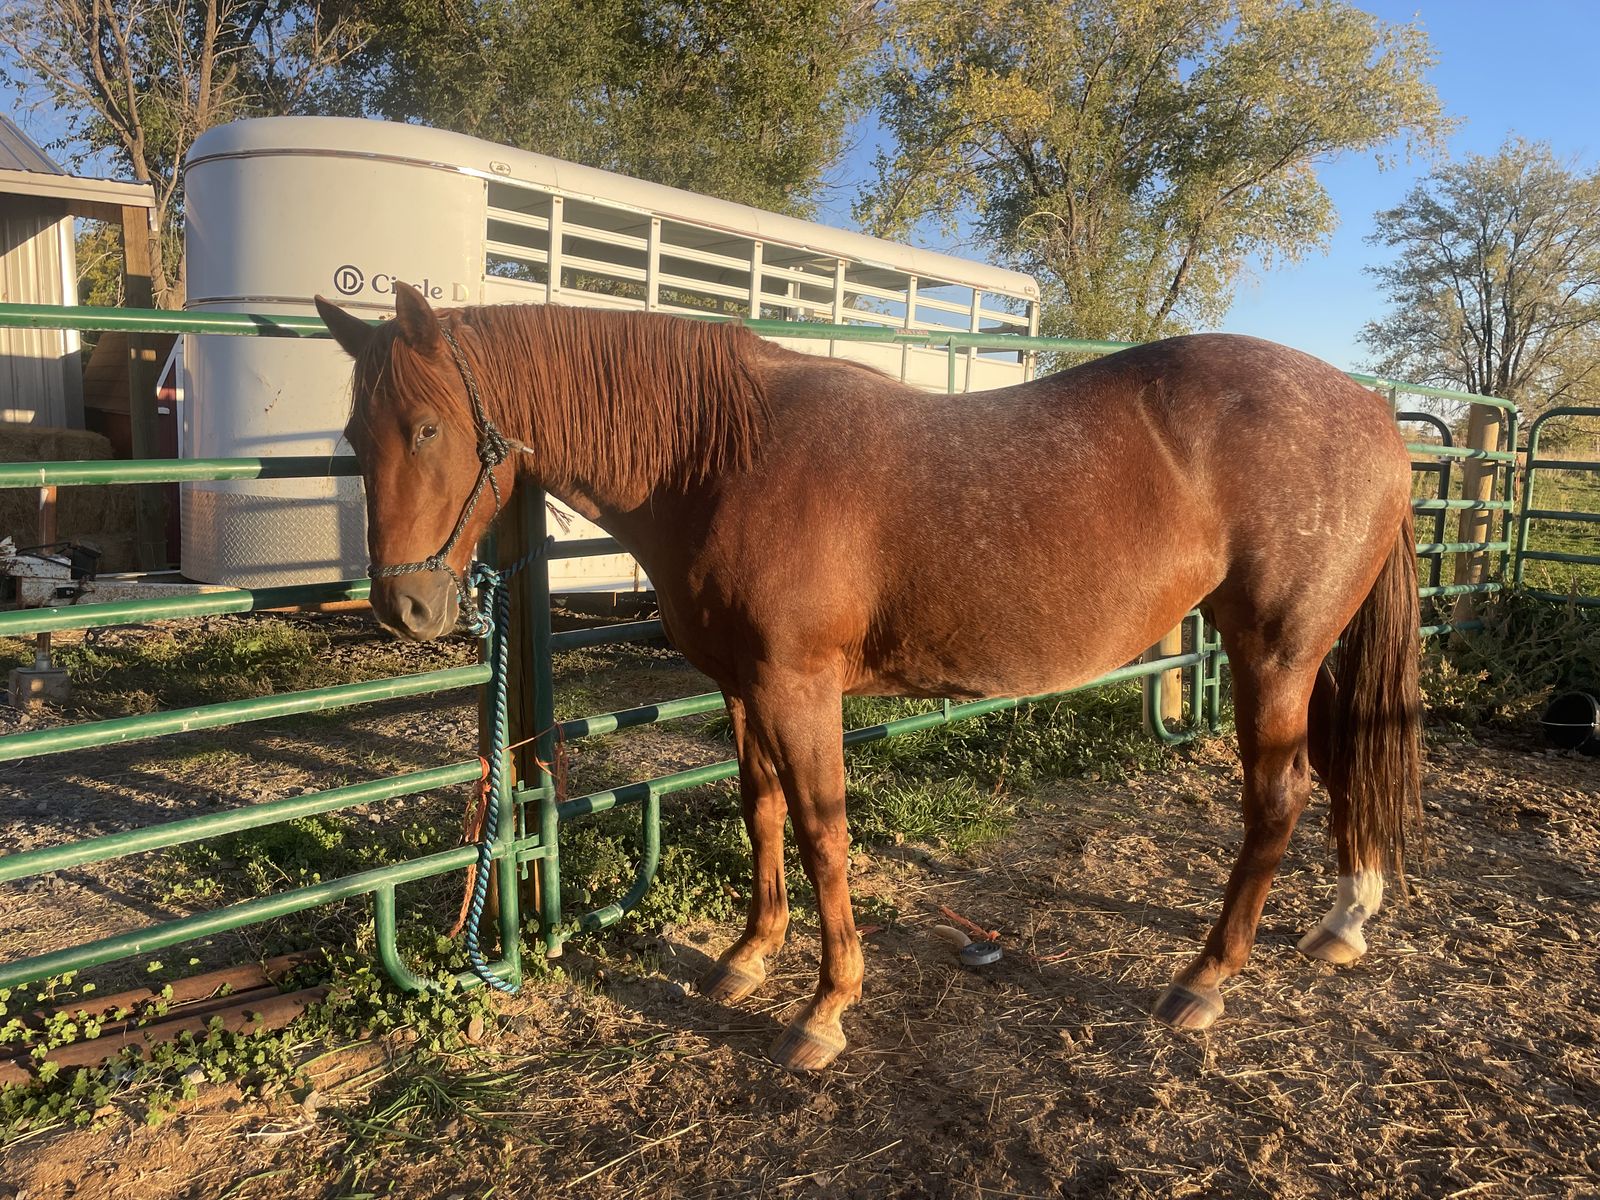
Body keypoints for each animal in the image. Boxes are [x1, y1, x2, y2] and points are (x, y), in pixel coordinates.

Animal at [316, 282, 1421, 1071]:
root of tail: (1371, 407)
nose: (404, 609)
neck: (722, 457)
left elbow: (821, 833)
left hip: (1273, 652)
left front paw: (826, 1008)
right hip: (1306, 656)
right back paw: (1345, 920)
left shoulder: (799, 688)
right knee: (1337, 767)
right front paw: (748, 958)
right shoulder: (745, 688)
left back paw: (1205, 979)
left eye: (425, 428)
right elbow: (761, 810)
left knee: (1277, 796)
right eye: (355, 437)